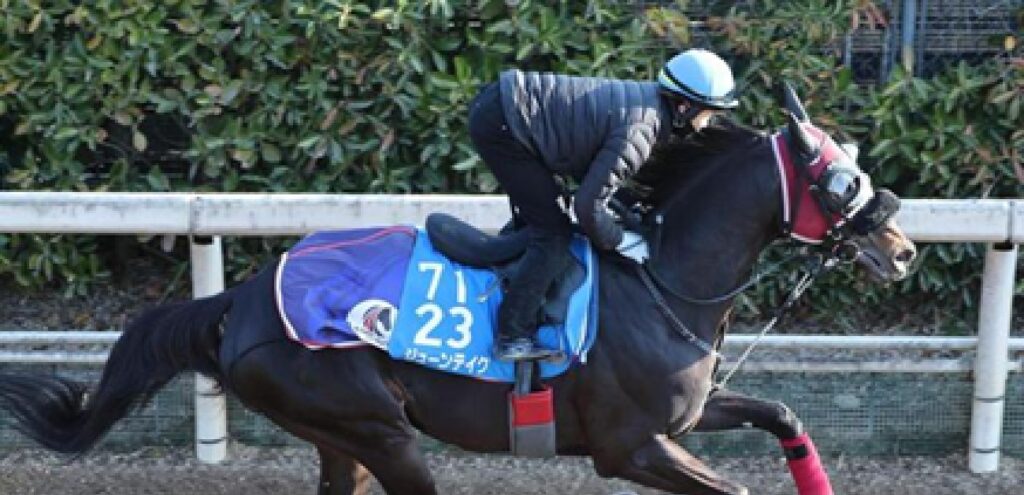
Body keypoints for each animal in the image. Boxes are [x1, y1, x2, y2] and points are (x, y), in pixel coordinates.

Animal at [0, 98, 916, 494]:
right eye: (839, 178)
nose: (903, 247)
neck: (663, 281)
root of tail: (244, 301)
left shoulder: (683, 418)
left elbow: (783, 413)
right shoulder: (630, 447)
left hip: (342, 438)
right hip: (376, 426)